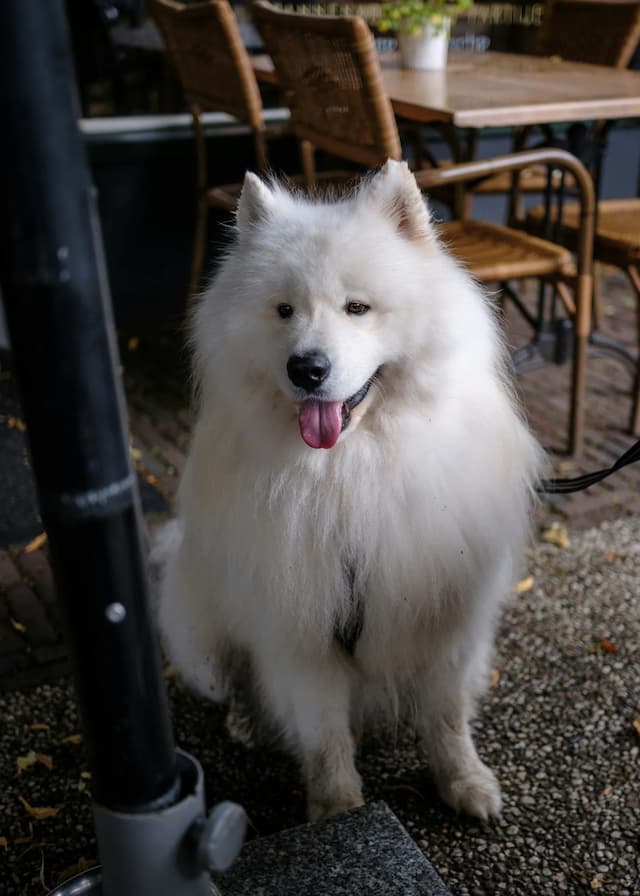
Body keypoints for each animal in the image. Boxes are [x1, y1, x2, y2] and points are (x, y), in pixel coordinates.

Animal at [158, 159, 544, 820]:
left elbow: (446, 717)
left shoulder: (447, 616)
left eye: (357, 307)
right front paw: (339, 810)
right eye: (284, 310)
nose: (307, 368)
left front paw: (464, 782)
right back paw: (247, 721)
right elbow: (324, 736)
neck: (347, 470)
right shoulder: (299, 624)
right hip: (206, 615)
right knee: (236, 676)